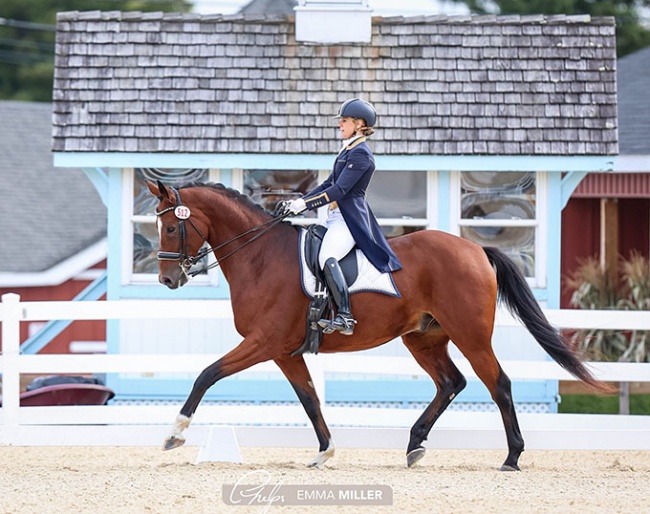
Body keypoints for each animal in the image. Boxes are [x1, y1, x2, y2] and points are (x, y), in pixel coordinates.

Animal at [146, 179, 608, 468]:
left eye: (169, 226)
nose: (167, 280)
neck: (260, 256)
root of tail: (476, 249)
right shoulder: (283, 351)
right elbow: (310, 398)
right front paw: (325, 452)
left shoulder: (264, 342)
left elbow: (207, 375)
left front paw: (174, 434)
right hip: (424, 338)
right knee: (451, 382)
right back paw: (414, 444)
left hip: (471, 335)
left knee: (499, 385)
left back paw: (511, 457)